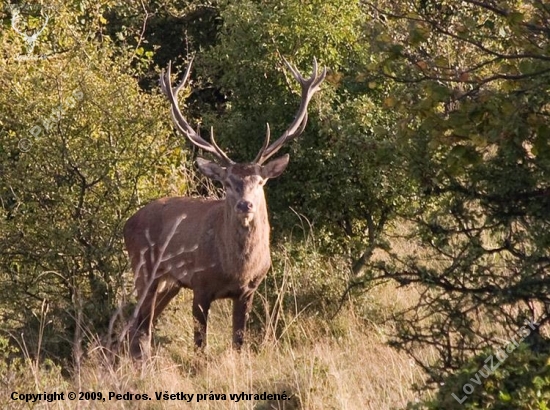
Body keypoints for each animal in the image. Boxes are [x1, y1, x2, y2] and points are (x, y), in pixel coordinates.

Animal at [123, 56, 326, 358]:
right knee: (141, 326)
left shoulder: (249, 290)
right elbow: (199, 345)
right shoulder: (199, 284)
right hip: (143, 267)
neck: (236, 269)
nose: (245, 204)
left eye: (260, 181)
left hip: (169, 281)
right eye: (227, 182)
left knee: (141, 321)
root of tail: (128, 222)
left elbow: (239, 341)